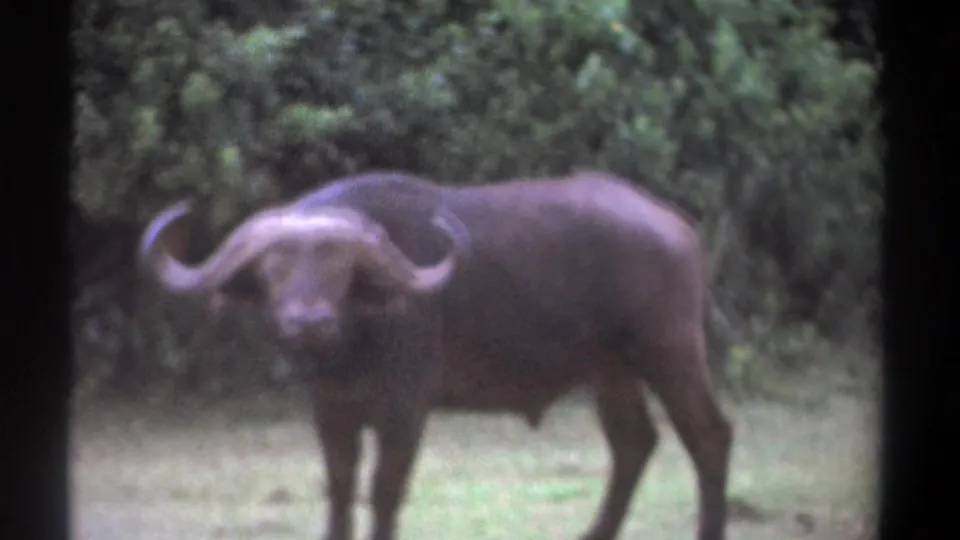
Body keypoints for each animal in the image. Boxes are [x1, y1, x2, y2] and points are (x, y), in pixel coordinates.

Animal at [139, 171, 732, 540]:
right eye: (273, 269)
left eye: (340, 269)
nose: (309, 321)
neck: (353, 345)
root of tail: (677, 223)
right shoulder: (330, 411)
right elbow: (339, 489)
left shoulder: (405, 409)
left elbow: (384, 490)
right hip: (608, 368)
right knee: (634, 441)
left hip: (669, 348)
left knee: (708, 435)